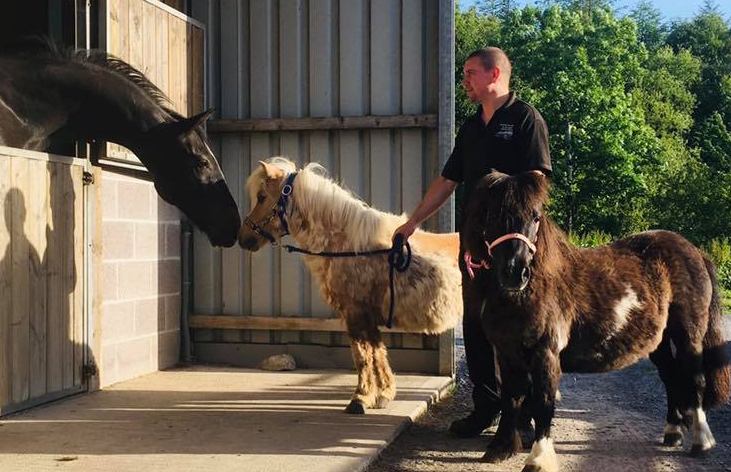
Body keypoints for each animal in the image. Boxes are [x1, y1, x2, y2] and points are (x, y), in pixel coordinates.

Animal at [238, 157, 462, 414]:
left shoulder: (354, 313)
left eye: (262, 196)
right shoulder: (367, 317)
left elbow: (361, 355)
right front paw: (384, 394)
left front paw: (360, 398)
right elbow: (377, 352)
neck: (350, 246)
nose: (243, 238)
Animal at [461, 170, 730, 472]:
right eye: (494, 214)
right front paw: (501, 448)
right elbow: (512, 397)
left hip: (688, 334)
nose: (515, 272)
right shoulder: (507, 354)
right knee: (671, 377)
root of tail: (695, 251)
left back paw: (701, 441)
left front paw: (538, 458)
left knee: (696, 379)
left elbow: (542, 401)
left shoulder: (545, 353)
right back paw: (672, 433)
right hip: (658, 342)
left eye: (535, 216)